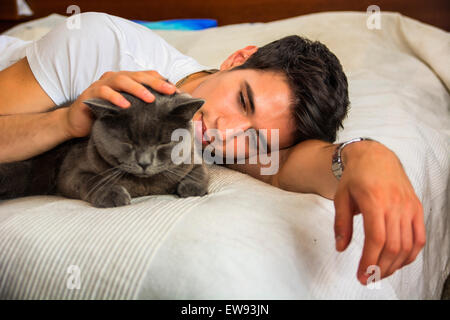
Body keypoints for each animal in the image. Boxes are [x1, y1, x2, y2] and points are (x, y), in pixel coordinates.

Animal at [0, 86, 210, 208]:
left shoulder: (193, 157)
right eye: (127, 141)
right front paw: (113, 194)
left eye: (164, 142)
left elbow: (200, 172)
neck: (145, 187)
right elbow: (92, 180)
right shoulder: (70, 173)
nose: (144, 163)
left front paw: (191, 188)